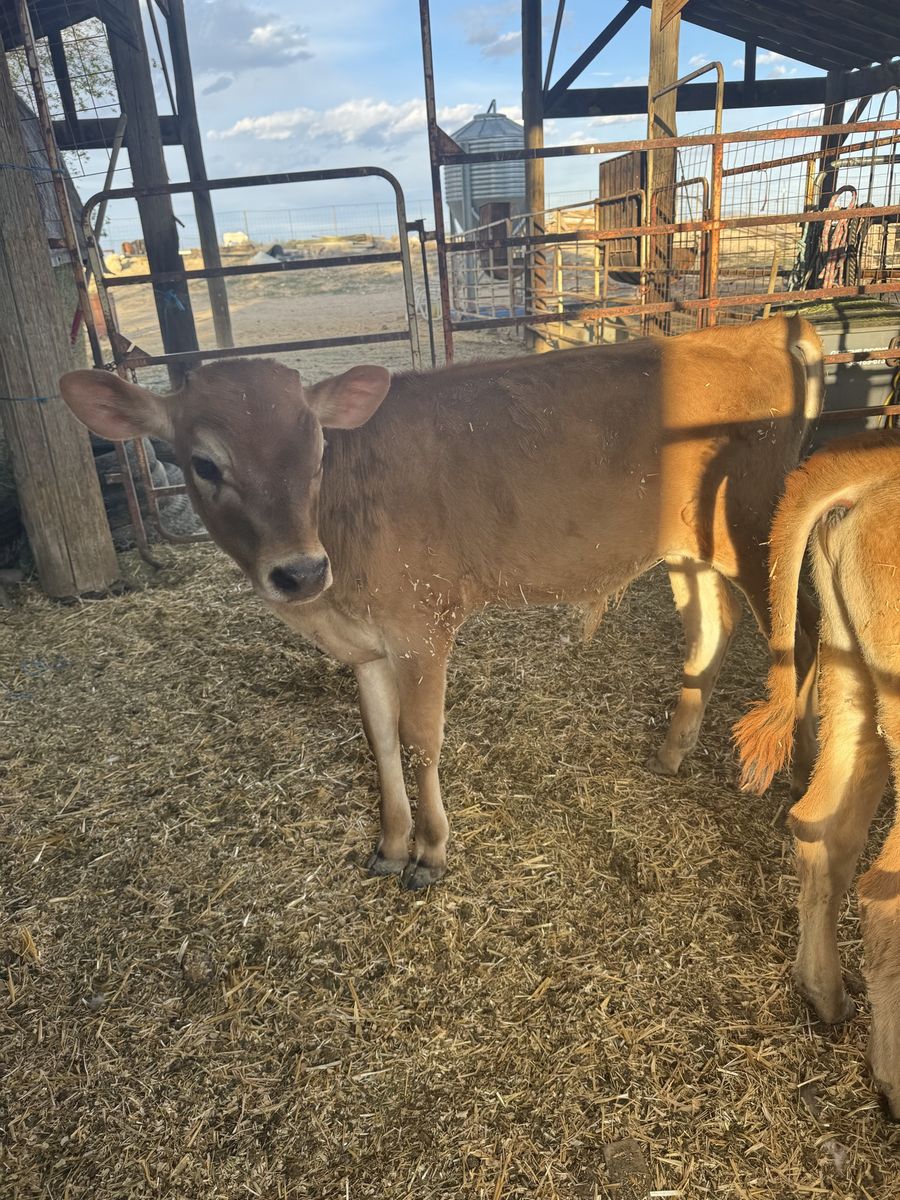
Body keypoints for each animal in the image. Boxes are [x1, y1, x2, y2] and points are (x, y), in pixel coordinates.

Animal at [61, 315, 822, 890]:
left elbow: (421, 741)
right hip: (689, 547)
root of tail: (763, 328)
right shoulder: (366, 648)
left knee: (805, 632)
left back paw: (805, 780)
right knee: (711, 627)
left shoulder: (422, 629)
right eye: (204, 464)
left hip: (758, 529)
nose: (300, 571)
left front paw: (429, 852)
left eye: (317, 452)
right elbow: (380, 742)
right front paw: (391, 843)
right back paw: (674, 751)